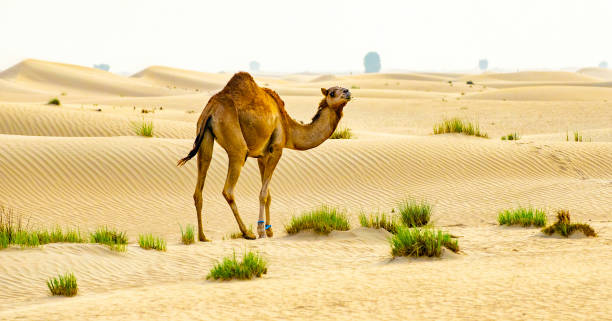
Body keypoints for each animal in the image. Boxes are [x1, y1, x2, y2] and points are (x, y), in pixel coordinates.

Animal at [177, 71, 352, 239]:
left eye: (342, 88)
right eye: (332, 93)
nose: (348, 92)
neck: (288, 128)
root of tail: (212, 109)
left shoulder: (262, 156)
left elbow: (268, 194)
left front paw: (270, 230)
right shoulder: (277, 149)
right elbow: (262, 194)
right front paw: (261, 230)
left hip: (204, 137)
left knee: (199, 186)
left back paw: (202, 236)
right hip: (236, 145)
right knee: (228, 190)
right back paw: (247, 233)